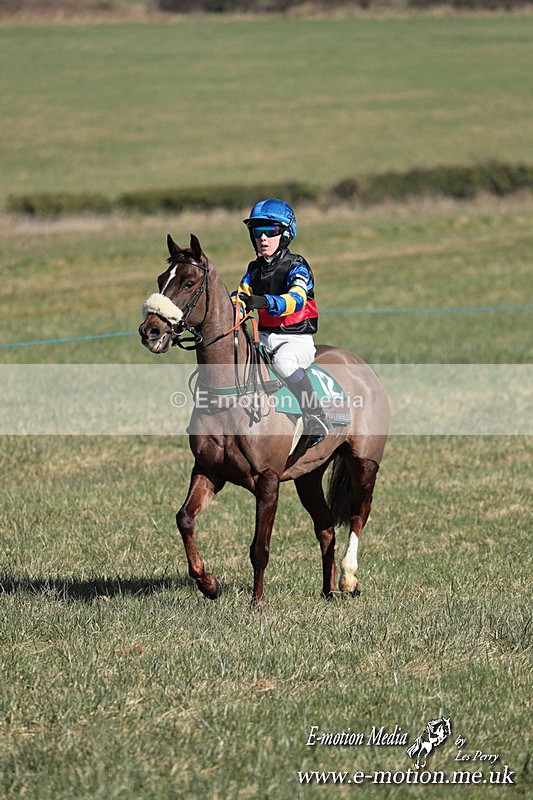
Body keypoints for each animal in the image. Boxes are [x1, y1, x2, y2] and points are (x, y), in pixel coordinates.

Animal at [138, 233, 388, 607]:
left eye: (188, 282)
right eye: (160, 280)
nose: (150, 331)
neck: (231, 396)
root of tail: (359, 363)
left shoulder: (268, 480)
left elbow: (260, 547)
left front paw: (257, 603)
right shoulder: (208, 470)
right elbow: (184, 519)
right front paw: (208, 583)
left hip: (364, 462)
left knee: (358, 515)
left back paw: (348, 579)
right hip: (307, 474)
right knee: (326, 527)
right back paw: (327, 590)